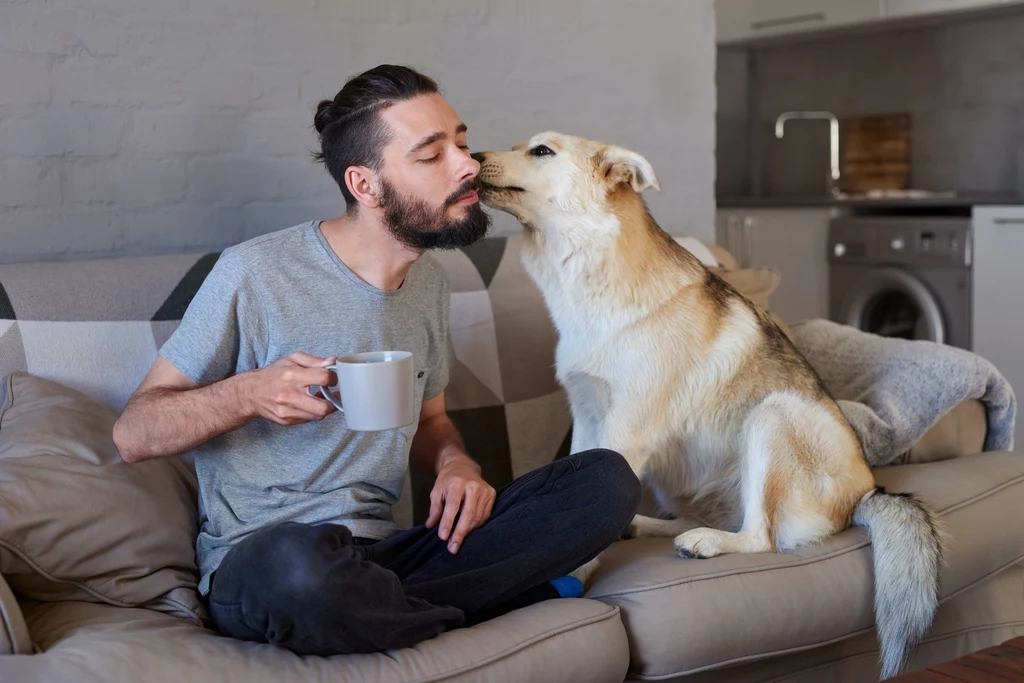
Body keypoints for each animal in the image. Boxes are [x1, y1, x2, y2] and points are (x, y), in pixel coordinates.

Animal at [471, 133, 942, 679]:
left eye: (541, 151)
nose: (473, 158)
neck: (590, 269)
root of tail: (867, 492)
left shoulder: (623, 432)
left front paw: (573, 577)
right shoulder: (588, 419)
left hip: (771, 415)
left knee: (761, 537)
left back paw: (708, 542)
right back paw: (651, 526)